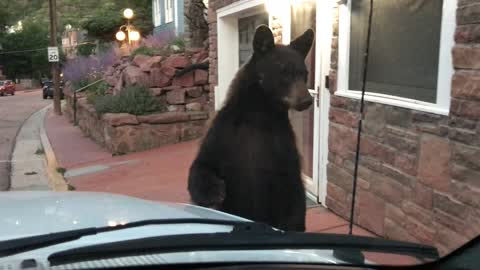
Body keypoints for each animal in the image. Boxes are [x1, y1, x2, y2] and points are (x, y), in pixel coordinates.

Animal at [188, 25, 316, 232]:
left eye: (304, 73)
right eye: (284, 72)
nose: (306, 100)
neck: (259, 116)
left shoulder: (283, 145)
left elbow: (293, 188)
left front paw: (294, 224)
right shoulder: (223, 133)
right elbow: (203, 164)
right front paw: (214, 191)